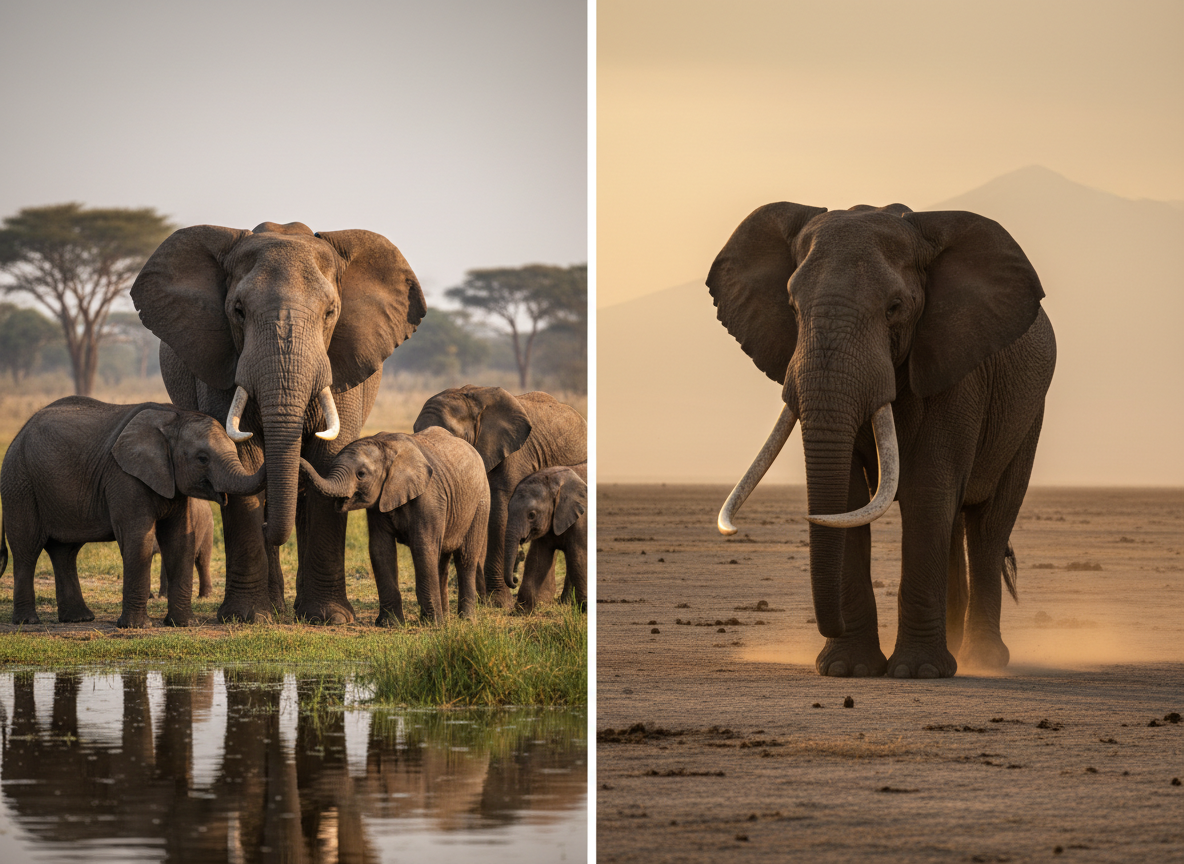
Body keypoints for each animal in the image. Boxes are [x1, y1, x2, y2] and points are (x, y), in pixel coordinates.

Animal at [0, 398, 266, 627]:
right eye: (202, 458)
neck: (173, 417)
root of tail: (18, 435)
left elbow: (179, 541)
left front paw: (183, 624)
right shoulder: (123, 475)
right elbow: (138, 538)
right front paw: (136, 626)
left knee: (64, 552)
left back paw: (78, 619)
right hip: (20, 484)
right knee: (27, 550)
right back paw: (28, 621)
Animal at [131, 220, 426, 624]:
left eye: (331, 313)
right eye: (238, 311)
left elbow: (330, 458)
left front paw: (329, 618)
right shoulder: (220, 362)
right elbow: (242, 458)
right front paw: (247, 617)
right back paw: (274, 606)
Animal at [299, 426, 490, 624]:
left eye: (361, 474)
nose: (299, 458)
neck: (386, 448)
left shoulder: (429, 496)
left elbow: (423, 547)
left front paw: (433, 624)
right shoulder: (379, 502)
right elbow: (380, 549)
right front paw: (390, 624)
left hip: (481, 501)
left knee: (465, 557)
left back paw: (465, 619)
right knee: (442, 560)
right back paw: (446, 616)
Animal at [504, 466, 588, 612]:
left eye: (531, 515)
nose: (514, 581)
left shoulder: (581, 520)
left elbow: (579, 557)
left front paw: (584, 608)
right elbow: (537, 559)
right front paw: (522, 611)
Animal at [708, 202, 1055, 678]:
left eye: (895, 308)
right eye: (793, 307)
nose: (830, 627)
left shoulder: (957, 367)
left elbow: (928, 489)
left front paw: (918, 672)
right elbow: (851, 499)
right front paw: (847, 669)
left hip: (1027, 414)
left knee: (987, 526)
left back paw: (983, 660)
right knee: (953, 526)